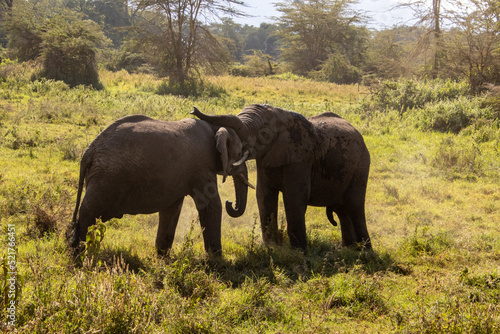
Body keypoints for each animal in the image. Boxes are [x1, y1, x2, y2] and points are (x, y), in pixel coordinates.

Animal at [68, 115, 252, 256]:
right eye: (241, 153)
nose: (231, 203)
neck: (214, 126)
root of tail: (89, 152)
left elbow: (172, 209)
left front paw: (163, 258)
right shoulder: (202, 166)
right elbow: (211, 205)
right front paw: (217, 260)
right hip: (106, 179)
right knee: (88, 215)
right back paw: (78, 257)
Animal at [191, 104, 372, 250]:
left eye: (262, 133)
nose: (193, 110)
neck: (279, 114)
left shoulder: (301, 158)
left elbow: (294, 197)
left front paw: (298, 251)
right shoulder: (267, 159)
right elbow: (264, 195)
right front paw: (271, 247)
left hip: (361, 165)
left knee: (354, 204)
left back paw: (365, 251)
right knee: (342, 209)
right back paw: (347, 248)